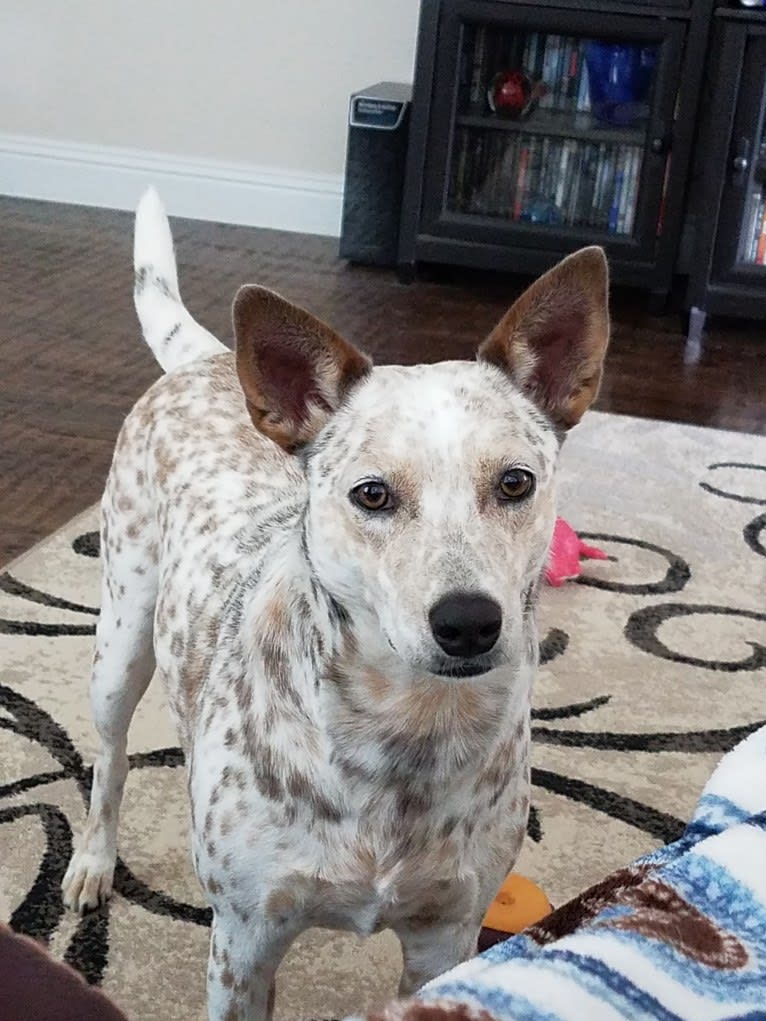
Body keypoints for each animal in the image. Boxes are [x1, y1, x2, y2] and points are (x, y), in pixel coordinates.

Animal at [61, 191, 612, 1021]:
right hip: (120, 638)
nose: (469, 620)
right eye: (372, 493)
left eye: (515, 482)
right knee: (110, 758)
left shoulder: (447, 939)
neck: (405, 729)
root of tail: (207, 360)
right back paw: (94, 859)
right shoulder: (243, 942)